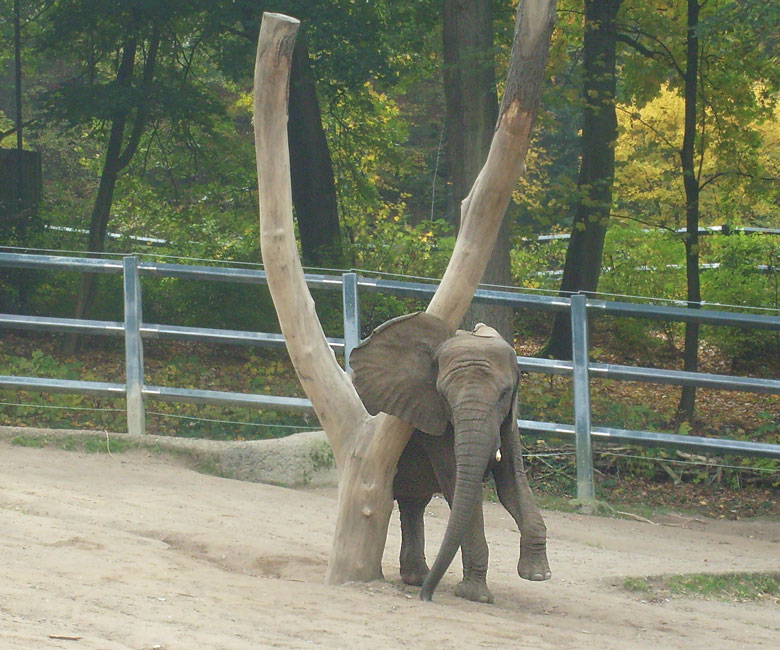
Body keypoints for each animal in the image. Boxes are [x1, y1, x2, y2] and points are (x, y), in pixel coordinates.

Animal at [350, 312, 552, 600]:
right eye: (443, 396)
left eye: (503, 394)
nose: (426, 597)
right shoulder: (431, 417)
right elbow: (460, 486)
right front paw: (475, 595)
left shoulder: (509, 420)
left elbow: (512, 482)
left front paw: (537, 574)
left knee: (414, 504)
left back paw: (417, 578)